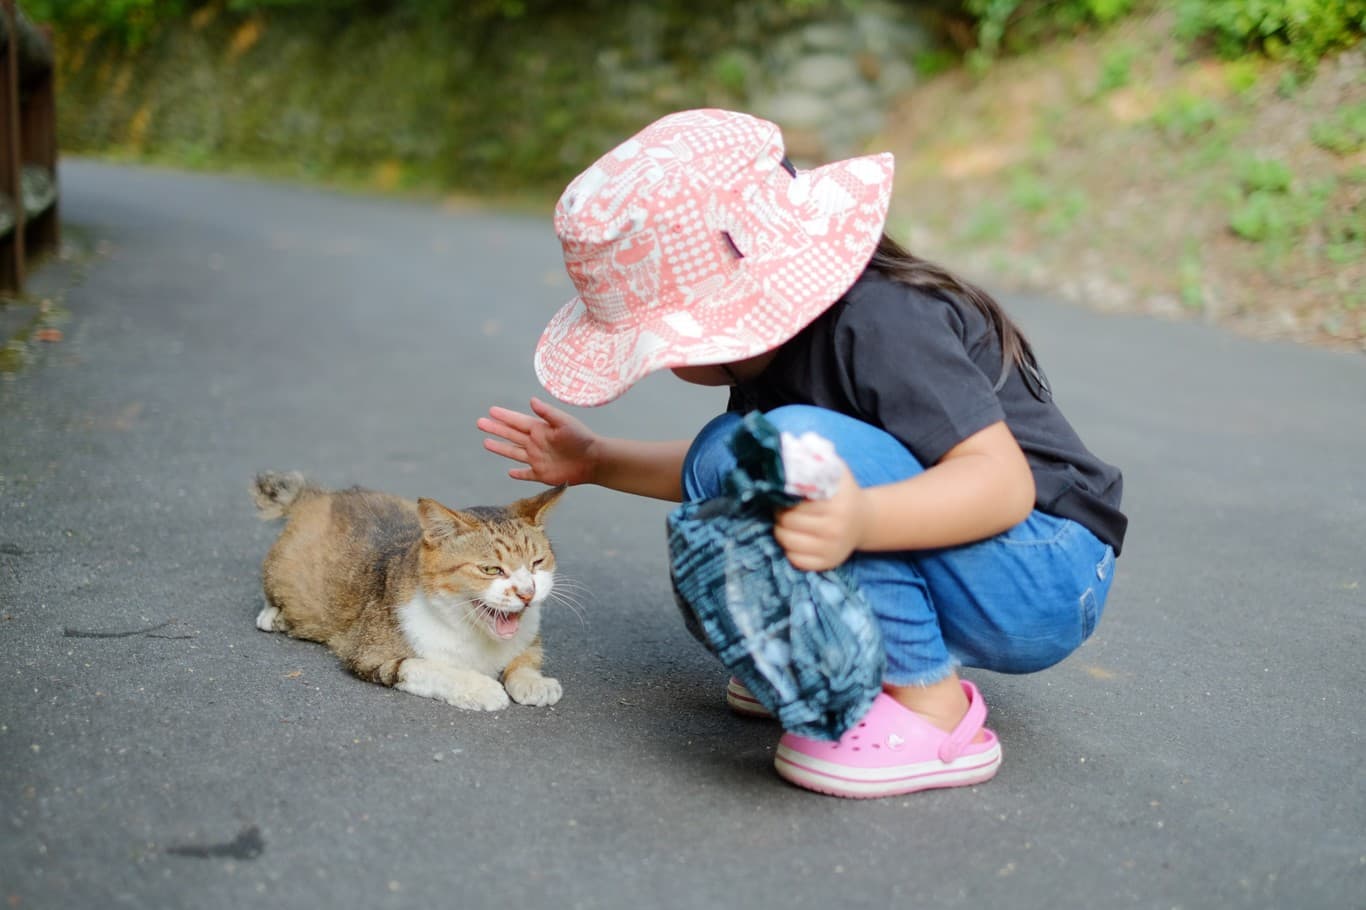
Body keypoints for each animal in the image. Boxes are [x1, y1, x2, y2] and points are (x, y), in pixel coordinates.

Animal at [251, 470, 565, 710]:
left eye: (537, 563)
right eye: (491, 570)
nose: (527, 592)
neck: (474, 635)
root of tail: (321, 496)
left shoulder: (527, 637)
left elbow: (526, 656)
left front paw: (533, 681)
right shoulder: (371, 656)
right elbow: (430, 669)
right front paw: (479, 687)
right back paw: (274, 616)